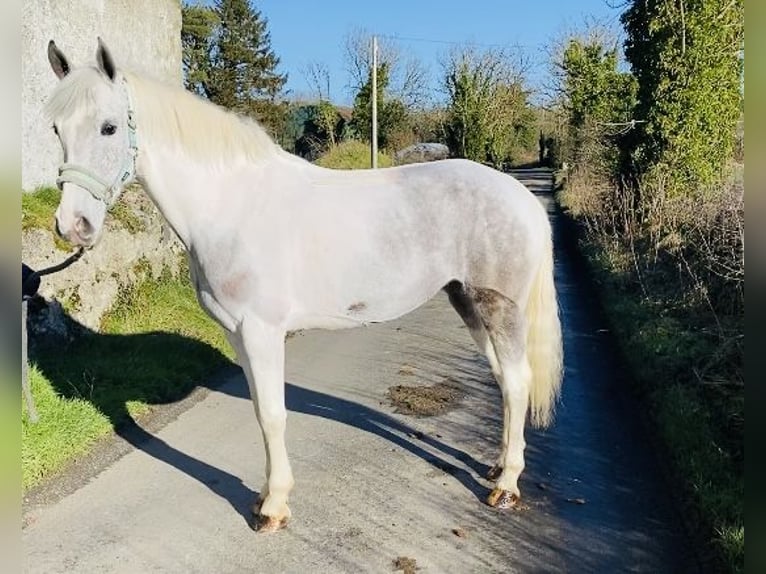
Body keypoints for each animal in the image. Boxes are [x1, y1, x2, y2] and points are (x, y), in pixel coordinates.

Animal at [48, 41, 564, 536]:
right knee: (504, 380)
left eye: (110, 128)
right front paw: (264, 495)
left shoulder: (261, 331)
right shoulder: (238, 333)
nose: (73, 226)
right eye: (56, 129)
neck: (231, 204)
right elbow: (261, 409)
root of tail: (520, 197)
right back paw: (496, 468)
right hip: (467, 301)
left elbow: (273, 415)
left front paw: (273, 508)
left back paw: (506, 487)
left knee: (517, 382)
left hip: (499, 308)